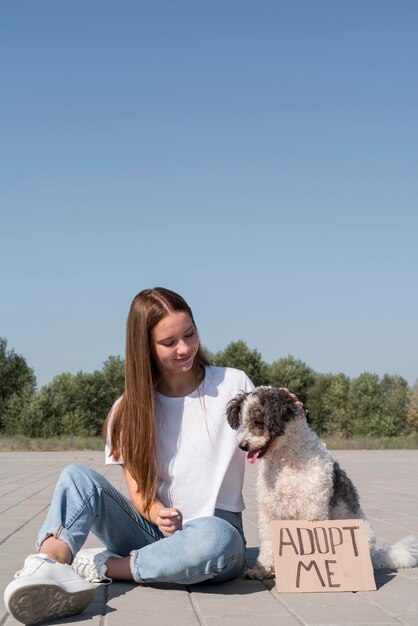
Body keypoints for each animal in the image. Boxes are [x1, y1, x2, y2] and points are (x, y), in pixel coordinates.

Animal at [227, 386, 418, 580]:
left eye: (259, 422)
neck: (286, 461)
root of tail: (376, 555)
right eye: (244, 423)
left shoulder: (313, 510)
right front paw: (262, 570)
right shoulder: (269, 512)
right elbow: (268, 543)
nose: (243, 446)